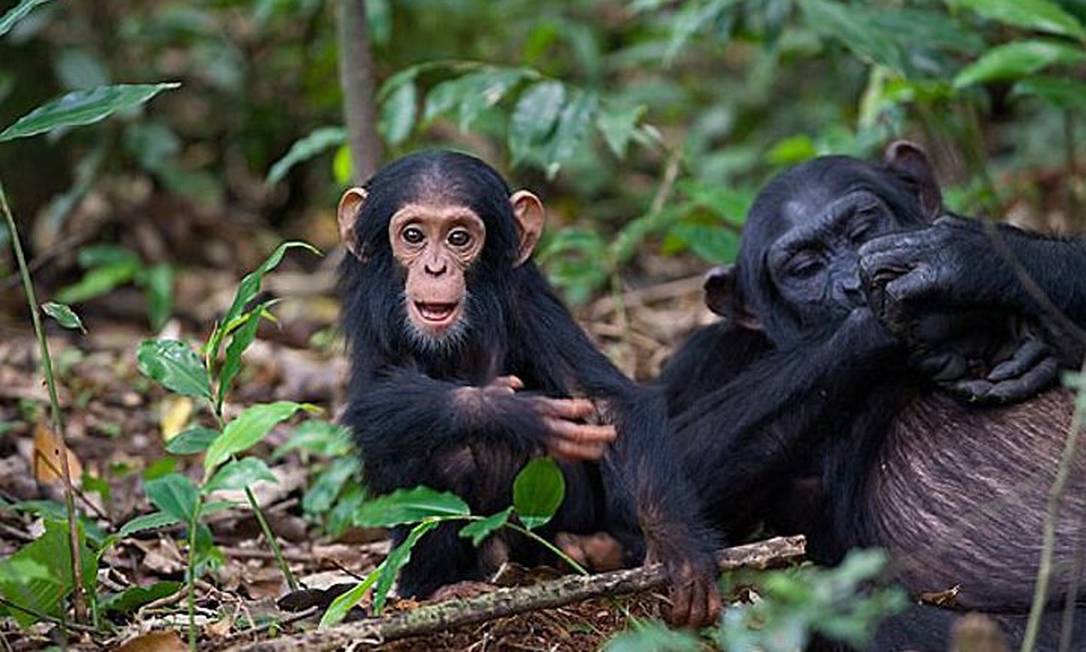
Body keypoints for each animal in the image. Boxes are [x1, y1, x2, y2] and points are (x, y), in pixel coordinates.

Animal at [338, 148, 721, 625]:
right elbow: (372, 402)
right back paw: (441, 587)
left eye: (459, 238)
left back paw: (590, 548)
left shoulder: (528, 299)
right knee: (444, 451)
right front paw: (512, 411)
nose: (435, 267)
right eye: (413, 235)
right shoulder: (371, 311)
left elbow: (605, 402)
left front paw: (679, 549)